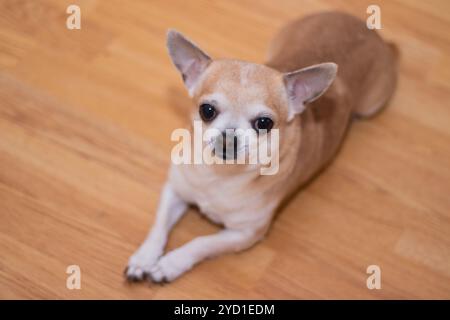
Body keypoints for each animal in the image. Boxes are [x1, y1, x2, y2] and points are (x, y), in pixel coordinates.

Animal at [125, 11, 396, 282]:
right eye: (207, 110)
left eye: (264, 123)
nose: (229, 137)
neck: (220, 175)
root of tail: (367, 30)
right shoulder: (174, 190)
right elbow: (159, 225)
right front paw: (144, 257)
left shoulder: (244, 235)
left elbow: (201, 243)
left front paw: (170, 264)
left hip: (372, 105)